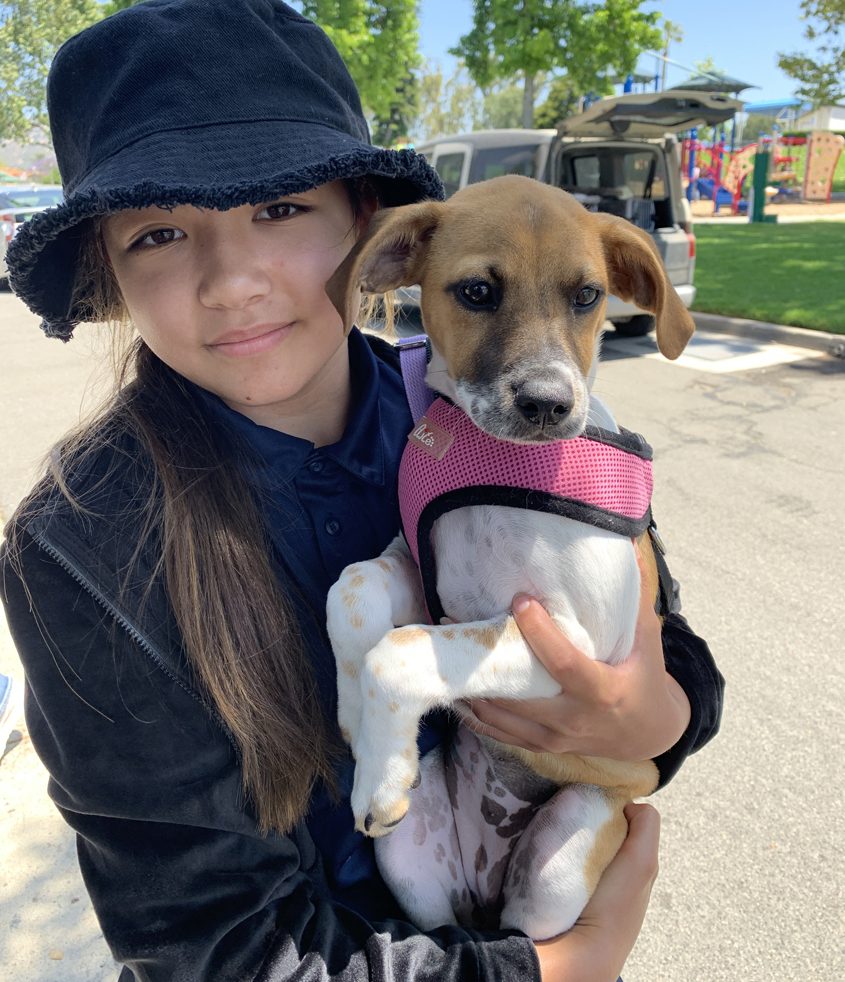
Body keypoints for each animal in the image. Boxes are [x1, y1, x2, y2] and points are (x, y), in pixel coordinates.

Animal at [324, 175, 692, 936]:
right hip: (408, 862)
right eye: (476, 292)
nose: (549, 404)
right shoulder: (421, 571)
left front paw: (377, 769)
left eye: (587, 295)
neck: (501, 460)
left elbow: (399, 649)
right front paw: (363, 732)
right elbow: (350, 592)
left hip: (559, 860)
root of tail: (485, 879)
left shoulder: (577, 646)